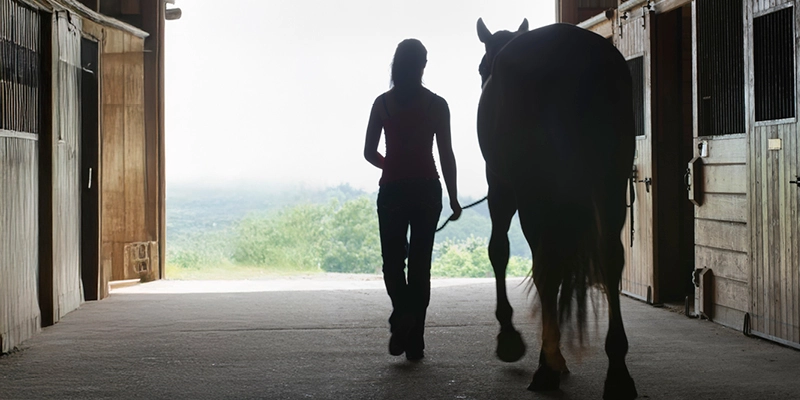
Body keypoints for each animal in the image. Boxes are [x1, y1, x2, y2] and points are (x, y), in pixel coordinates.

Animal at [476, 17, 636, 398]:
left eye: (481, 68)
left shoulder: (501, 189)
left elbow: (499, 251)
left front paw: (511, 340)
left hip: (535, 192)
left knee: (545, 265)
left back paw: (546, 369)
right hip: (609, 182)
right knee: (610, 256)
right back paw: (617, 372)